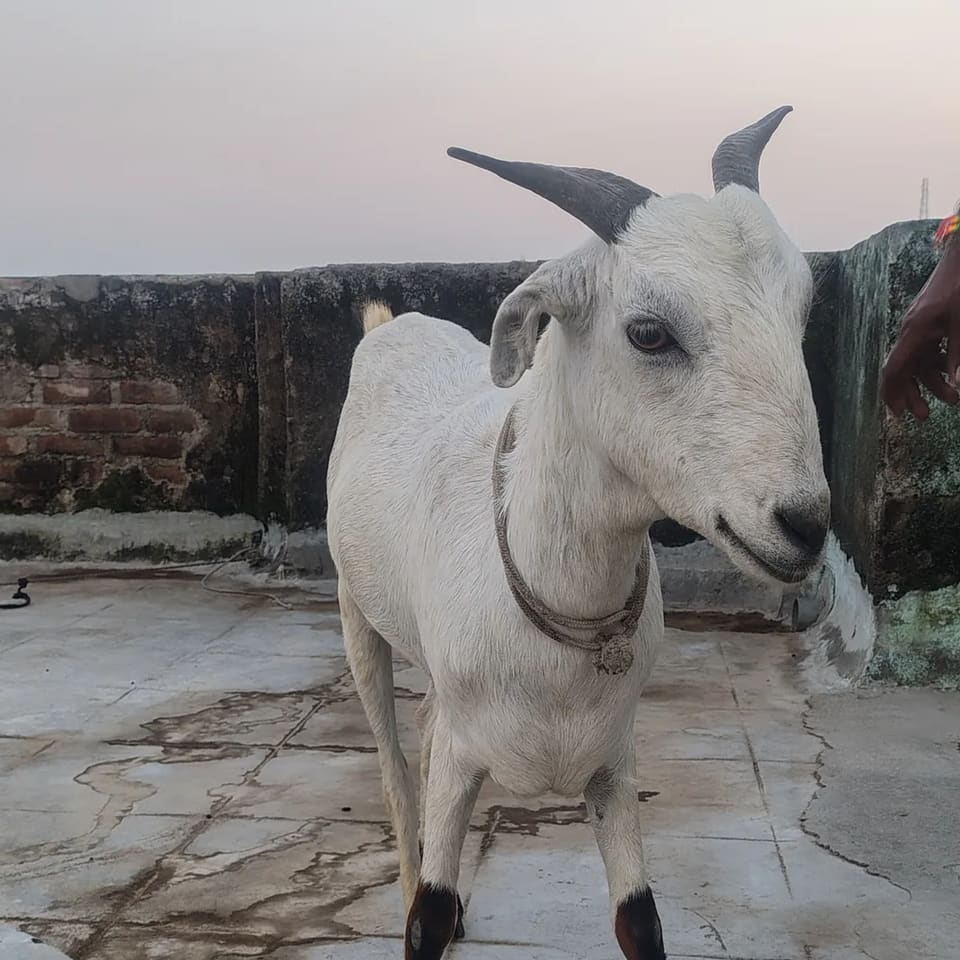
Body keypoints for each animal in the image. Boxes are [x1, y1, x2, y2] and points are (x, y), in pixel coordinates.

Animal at [326, 106, 830, 960]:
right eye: (649, 332)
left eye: (803, 312)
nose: (804, 523)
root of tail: (392, 325)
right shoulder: (464, 756)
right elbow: (426, 920)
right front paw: (428, 907)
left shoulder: (613, 766)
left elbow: (641, 921)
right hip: (355, 611)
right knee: (395, 765)